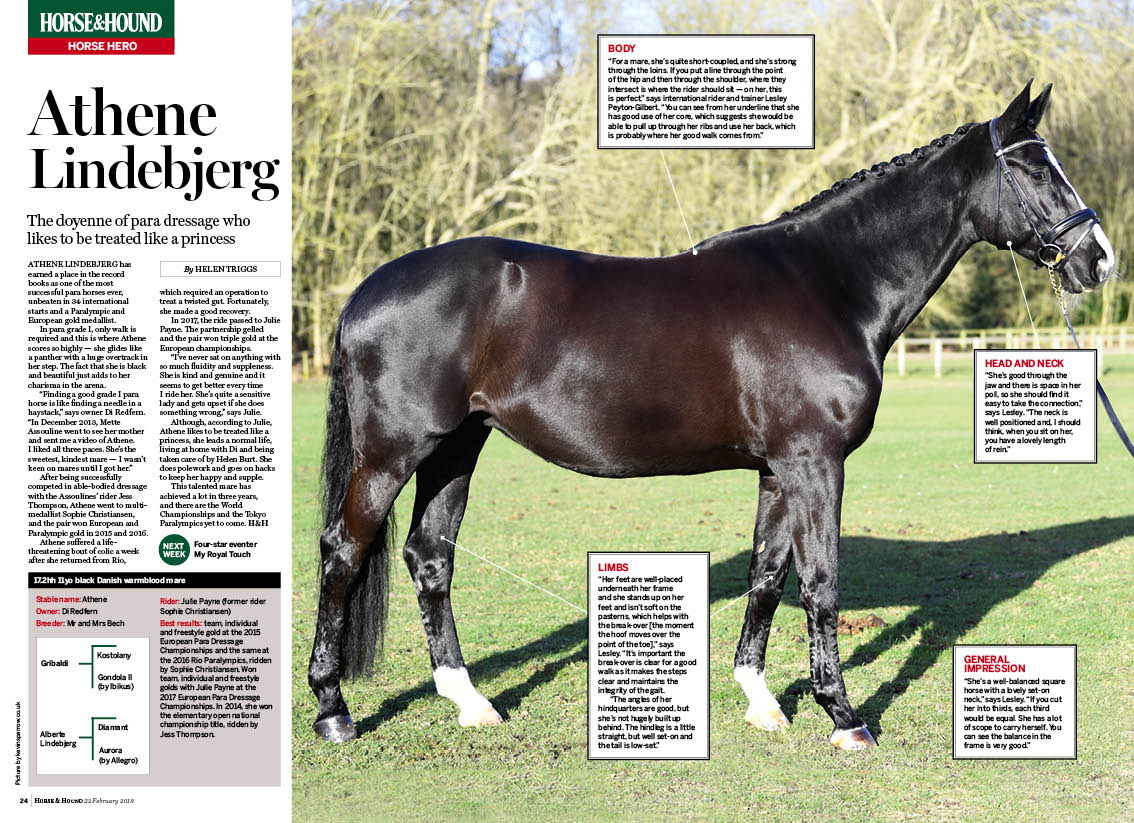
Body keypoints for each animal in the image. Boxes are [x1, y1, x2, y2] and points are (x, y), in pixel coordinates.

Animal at [307, 82, 1115, 749]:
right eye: (1035, 169)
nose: (1100, 260)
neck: (828, 284)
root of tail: (363, 294)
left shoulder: (779, 469)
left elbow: (768, 575)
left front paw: (762, 700)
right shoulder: (815, 463)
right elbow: (820, 581)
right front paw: (844, 716)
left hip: (455, 447)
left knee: (429, 557)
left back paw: (470, 701)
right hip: (393, 453)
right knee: (344, 551)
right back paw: (334, 709)